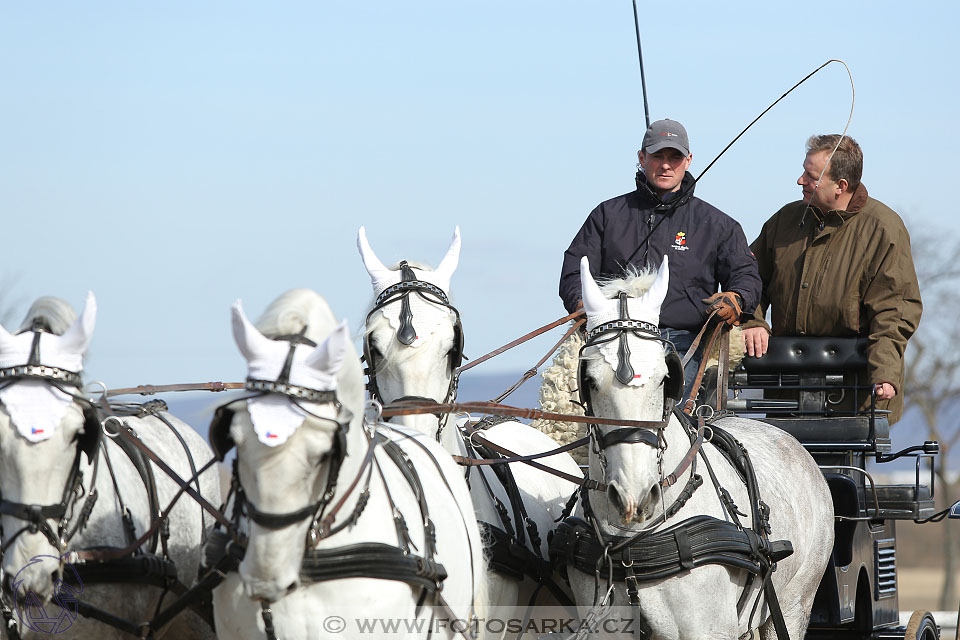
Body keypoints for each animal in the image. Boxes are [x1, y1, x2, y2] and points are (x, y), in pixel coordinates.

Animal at [564, 258, 832, 640]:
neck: (633, 541)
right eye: (588, 380)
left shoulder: (708, 629)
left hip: (795, 605)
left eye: (666, 377)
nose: (635, 496)